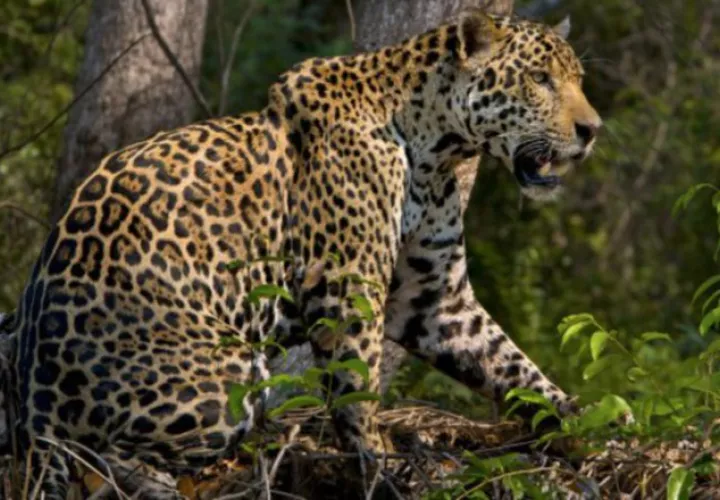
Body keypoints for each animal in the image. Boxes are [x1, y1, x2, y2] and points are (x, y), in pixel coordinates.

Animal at [4, 10, 601, 498]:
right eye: (540, 79)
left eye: (576, 79)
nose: (592, 130)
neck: (438, 148)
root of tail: (36, 410)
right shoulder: (347, 283)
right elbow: (359, 388)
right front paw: (381, 466)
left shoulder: (435, 297)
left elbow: (511, 364)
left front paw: (585, 426)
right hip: (225, 371)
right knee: (98, 459)